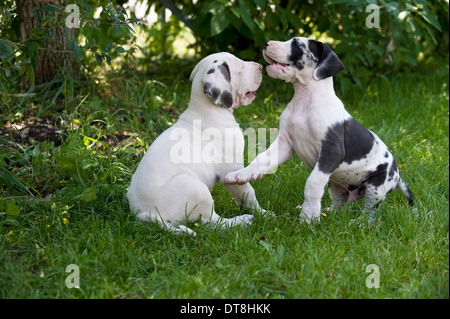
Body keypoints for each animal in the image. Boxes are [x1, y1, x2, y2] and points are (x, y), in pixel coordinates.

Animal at [127, 53, 268, 238]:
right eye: (241, 68)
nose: (260, 66)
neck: (207, 110)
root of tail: (144, 213)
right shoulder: (231, 171)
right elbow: (248, 193)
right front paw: (264, 214)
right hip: (196, 188)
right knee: (212, 223)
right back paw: (241, 221)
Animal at [224, 37, 414, 224]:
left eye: (297, 44)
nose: (266, 44)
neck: (304, 101)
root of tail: (397, 173)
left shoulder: (331, 151)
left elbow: (312, 183)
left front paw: (308, 217)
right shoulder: (285, 144)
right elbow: (262, 159)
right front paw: (241, 174)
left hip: (375, 187)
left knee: (371, 212)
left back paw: (359, 222)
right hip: (336, 184)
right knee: (340, 205)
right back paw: (328, 213)